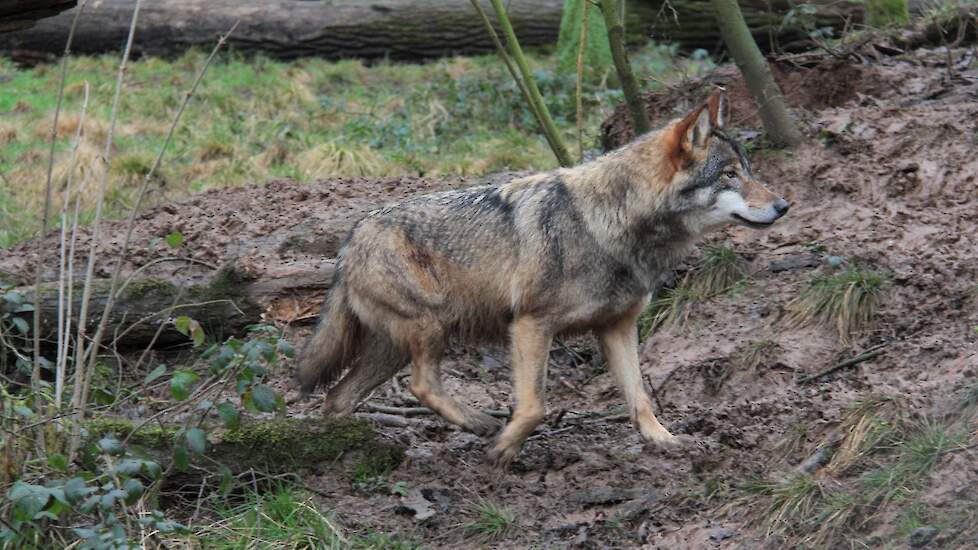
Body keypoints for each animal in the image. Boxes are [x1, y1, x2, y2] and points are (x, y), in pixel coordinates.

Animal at [296, 91, 790, 468]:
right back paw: (478, 424)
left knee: (338, 397)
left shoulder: (618, 327)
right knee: (420, 385)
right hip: (431, 329)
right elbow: (535, 406)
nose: (784, 205)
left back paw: (345, 447)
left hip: (395, 349)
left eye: (749, 170)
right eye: (730, 174)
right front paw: (503, 450)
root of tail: (352, 237)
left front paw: (664, 441)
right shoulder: (531, 325)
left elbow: (640, 398)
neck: (612, 223)